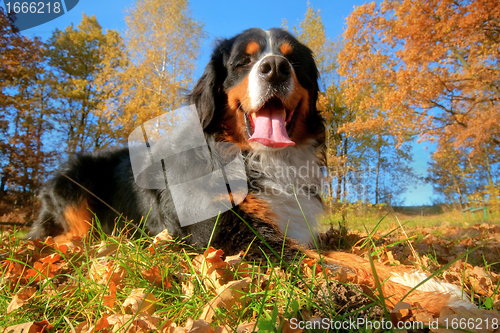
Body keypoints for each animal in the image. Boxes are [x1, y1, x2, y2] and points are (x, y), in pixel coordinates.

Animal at [28, 27, 324, 260]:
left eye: (294, 61)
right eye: (244, 61)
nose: (275, 68)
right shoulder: (223, 233)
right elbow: (318, 260)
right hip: (74, 183)